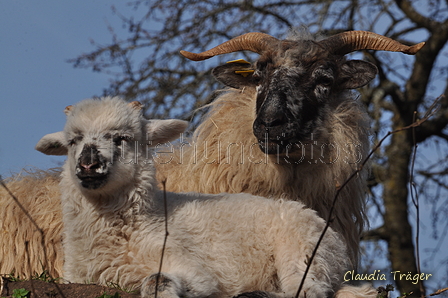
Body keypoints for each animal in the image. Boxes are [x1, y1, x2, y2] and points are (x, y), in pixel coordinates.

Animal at [36, 97, 376, 298]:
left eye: (122, 138)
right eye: (73, 141)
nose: (88, 164)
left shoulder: (193, 267)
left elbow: (159, 281)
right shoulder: (76, 277)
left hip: (304, 250)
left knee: (304, 291)